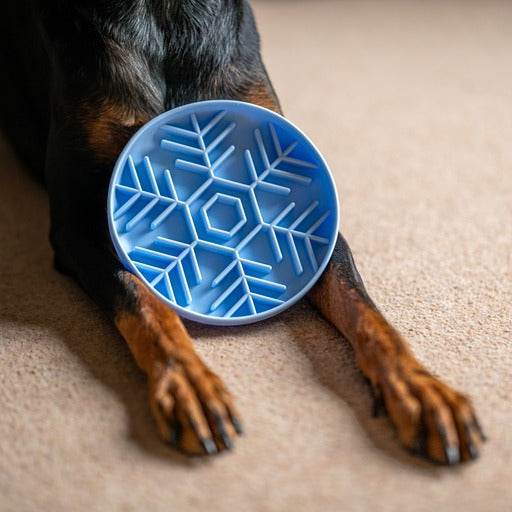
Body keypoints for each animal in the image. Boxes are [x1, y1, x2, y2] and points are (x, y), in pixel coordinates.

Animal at [2, 1, 486, 464]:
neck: (162, 14)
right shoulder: (76, 227)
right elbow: (143, 301)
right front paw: (190, 384)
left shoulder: (306, 210)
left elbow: (365, 311)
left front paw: (421, 391)